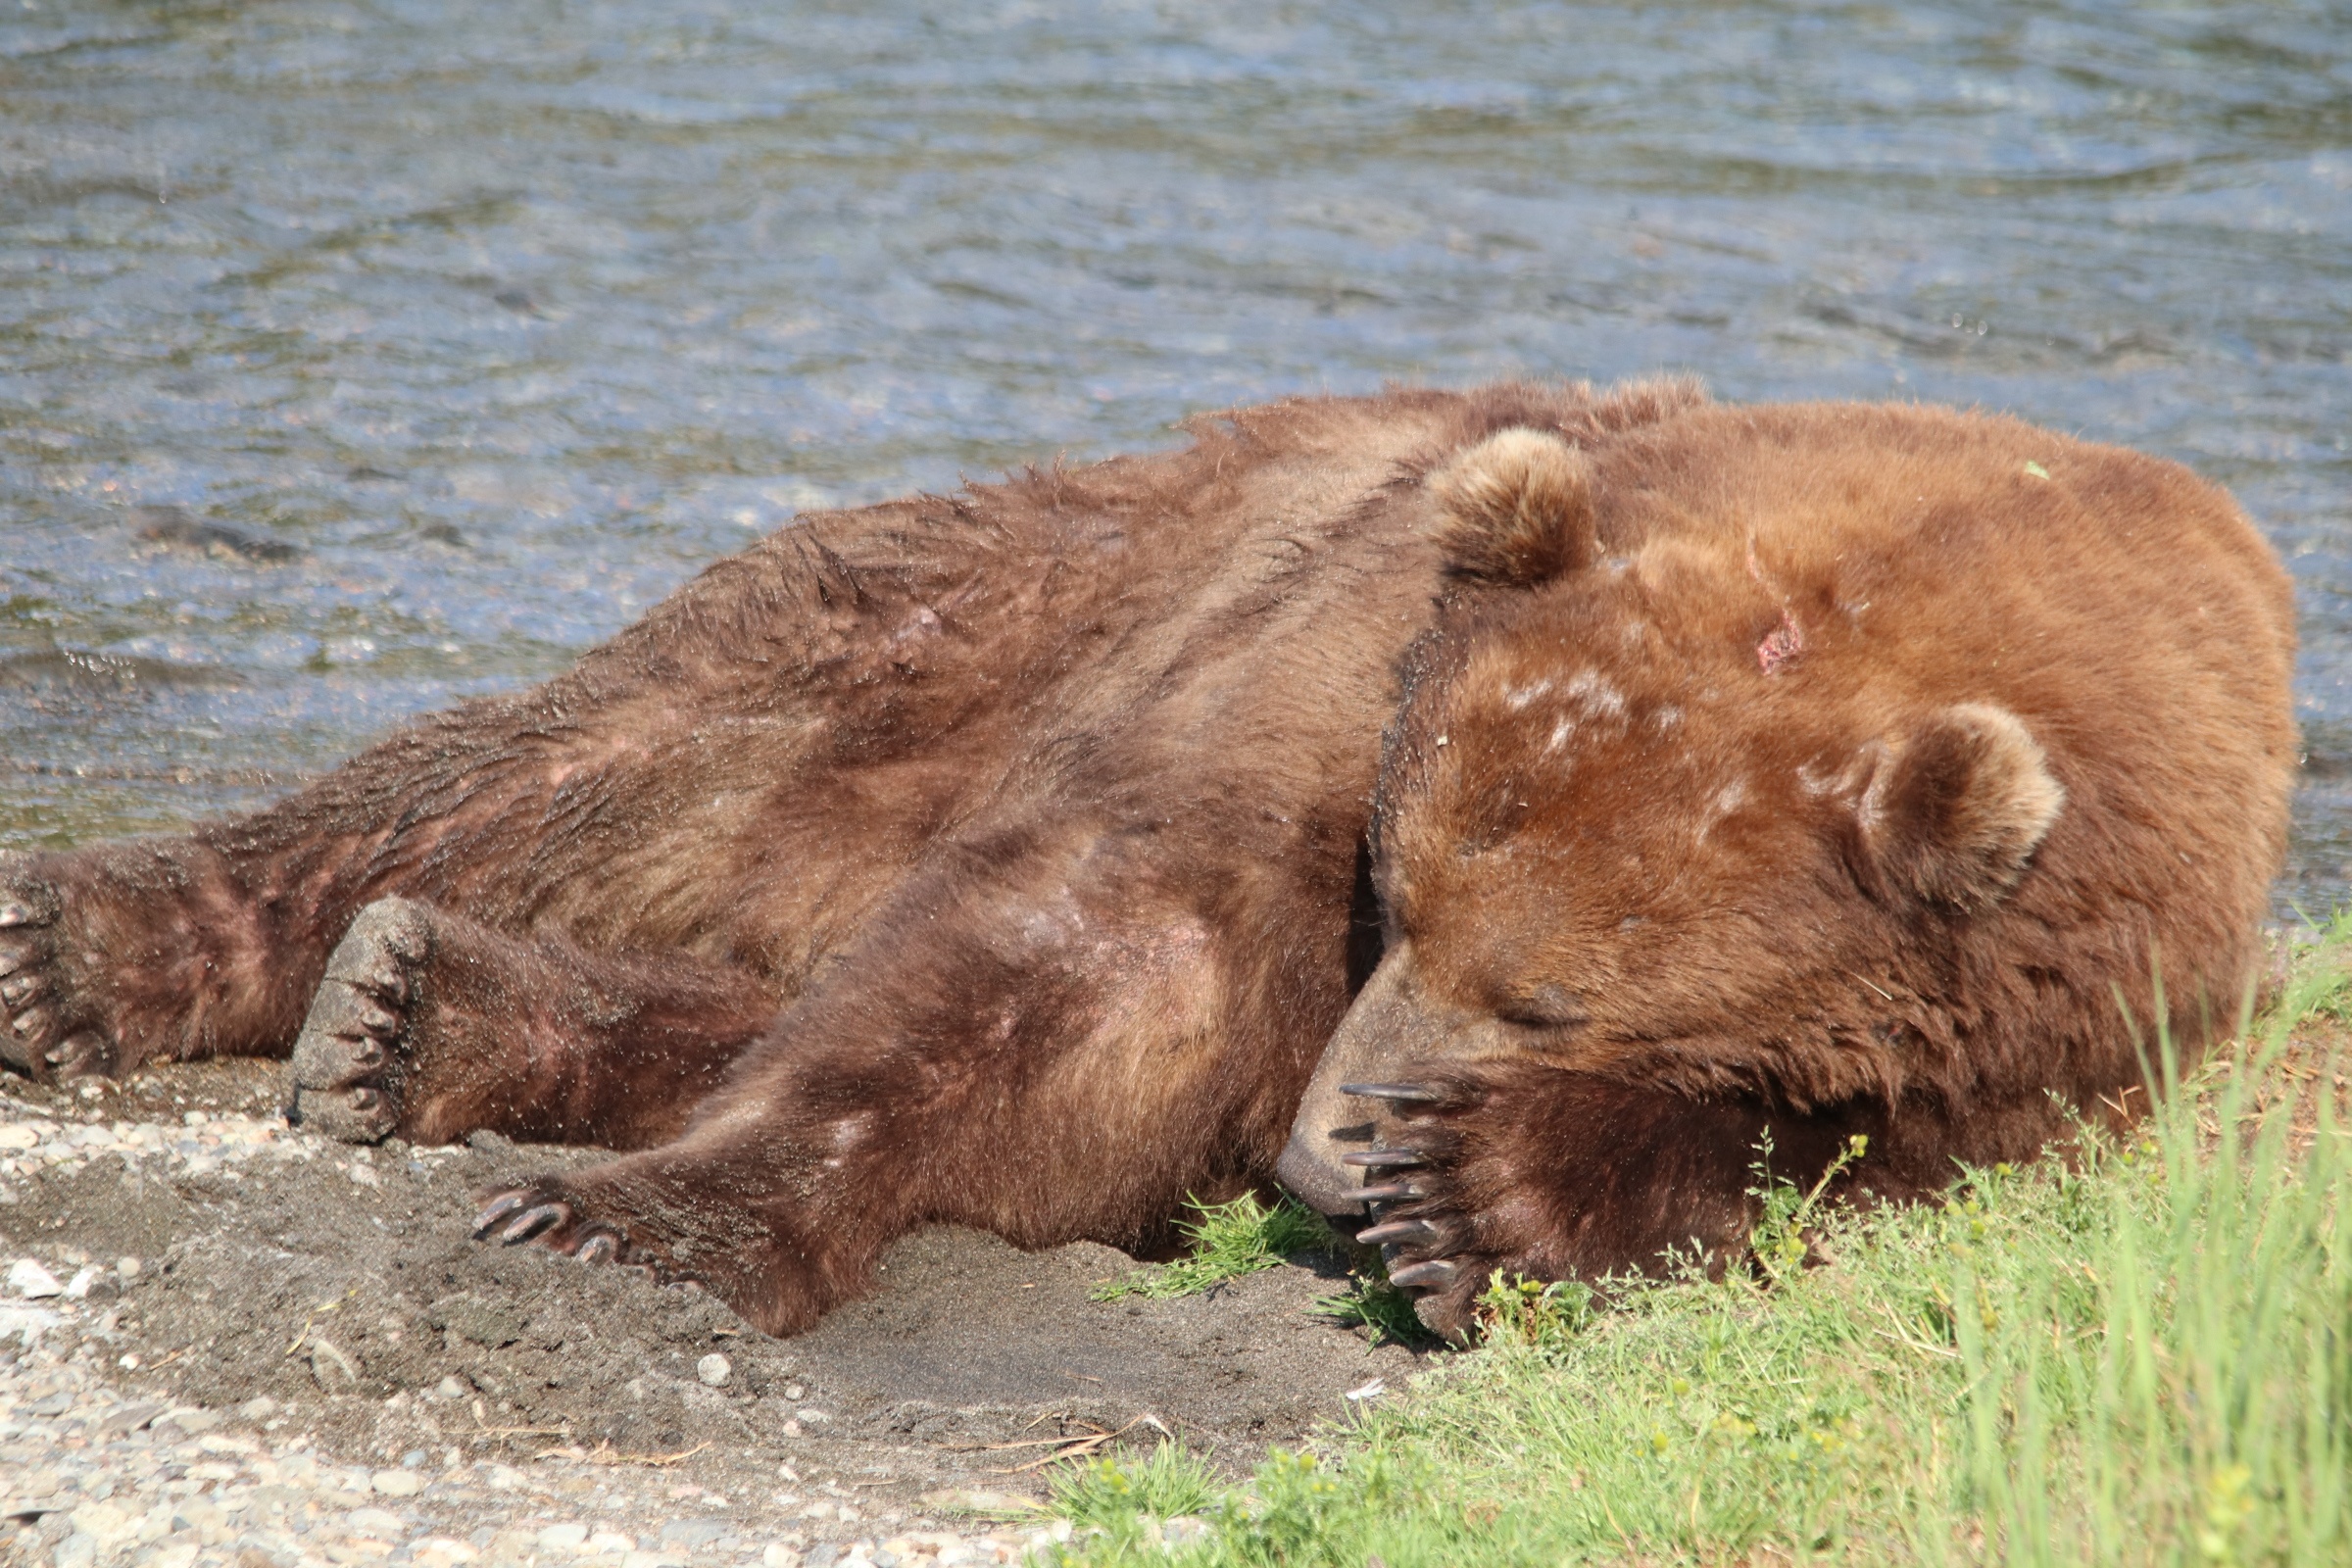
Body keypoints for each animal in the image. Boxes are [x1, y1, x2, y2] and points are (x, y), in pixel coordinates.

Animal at [0, 383, 2285, 1335]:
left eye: (1551, 993)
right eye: (1395, 885)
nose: (1320, 1157)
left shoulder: (2077, 1028)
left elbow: (1869, 1170)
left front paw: (1474, 1201)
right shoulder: (1329, 671)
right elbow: (1089, 964)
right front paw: (643, 1219)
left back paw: (432, 1014)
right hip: (1024, 594)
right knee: (603, 752)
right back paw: (134, 946)